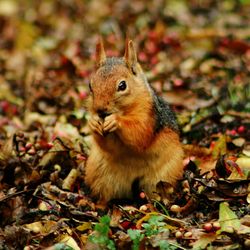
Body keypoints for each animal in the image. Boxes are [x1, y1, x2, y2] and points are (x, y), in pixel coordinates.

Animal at [84, 37, 184, 205]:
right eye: (90, 85)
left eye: (122, 85)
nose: (100, 110)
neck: (125, 111)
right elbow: (109, 147)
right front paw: (93, 123)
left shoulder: (149, 116)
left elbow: (140, 134)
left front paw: (115, 121)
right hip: (100, 174)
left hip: (164, 174)